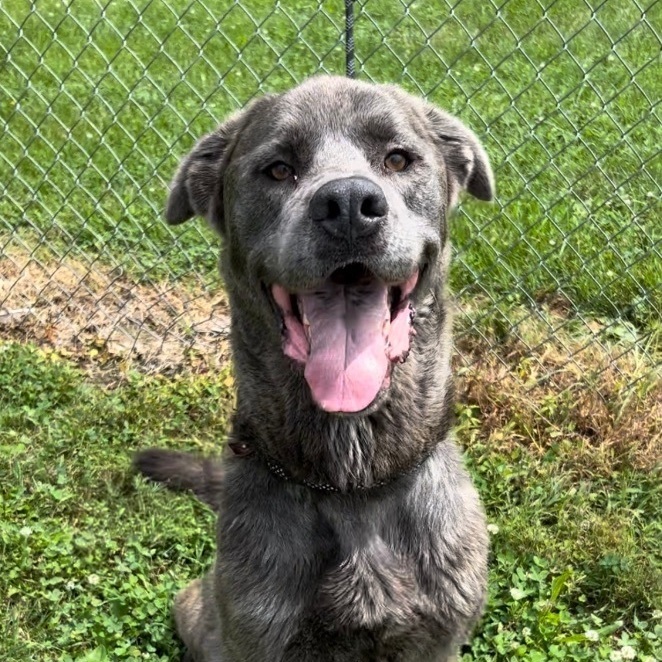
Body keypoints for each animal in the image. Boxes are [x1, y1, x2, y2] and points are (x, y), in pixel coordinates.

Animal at [137, 75, 496, 660]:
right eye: (279, 169)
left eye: (398, 159)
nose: (349, 203)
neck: (354, 484)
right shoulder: (259, 635)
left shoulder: (440, 637)